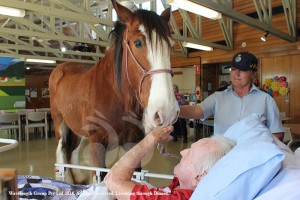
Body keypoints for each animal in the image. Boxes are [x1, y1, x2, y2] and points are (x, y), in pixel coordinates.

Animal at [47, 0, 177, 184]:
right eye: (138, 43)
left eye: (170, 46)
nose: (167, 111)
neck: (115, 97)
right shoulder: (97, 144)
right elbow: (98, 177)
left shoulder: (133, 142)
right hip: (60, 124)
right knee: (61, 153)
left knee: (73, 150)